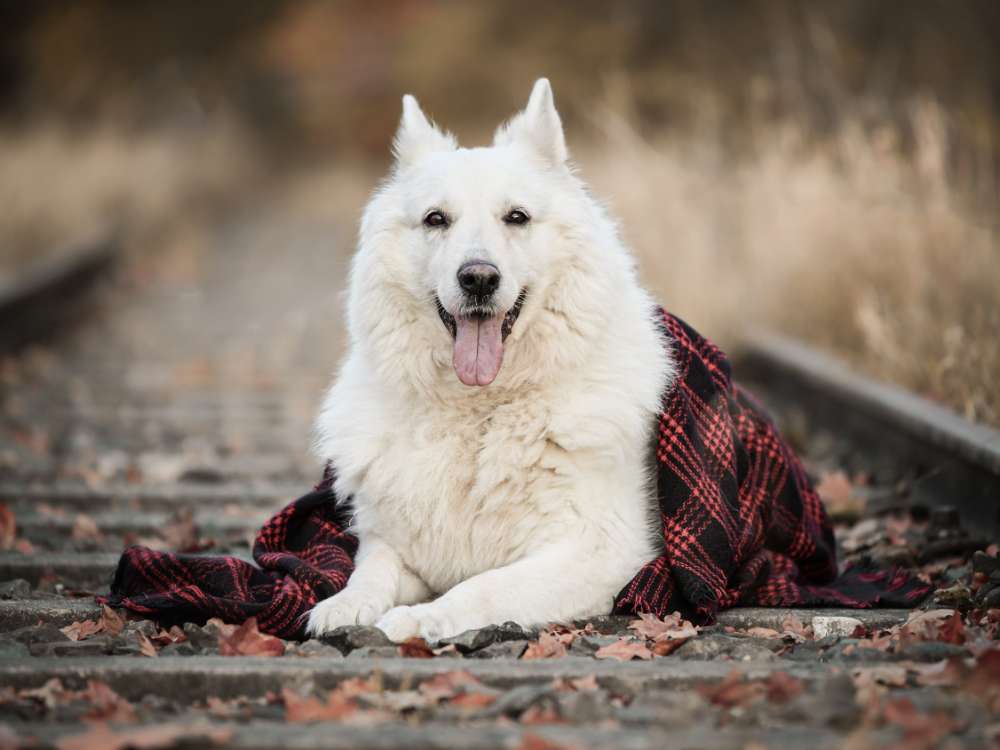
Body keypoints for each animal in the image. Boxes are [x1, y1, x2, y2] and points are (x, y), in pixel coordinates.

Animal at [308, 79, 676, 644]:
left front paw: (419, 619)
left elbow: (483, 587)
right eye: (436, 219)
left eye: (516, 217)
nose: (478, 278)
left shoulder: (600, 551)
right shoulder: (397, 543)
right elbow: (371, 569)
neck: (481, 409)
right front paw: (344, 604)